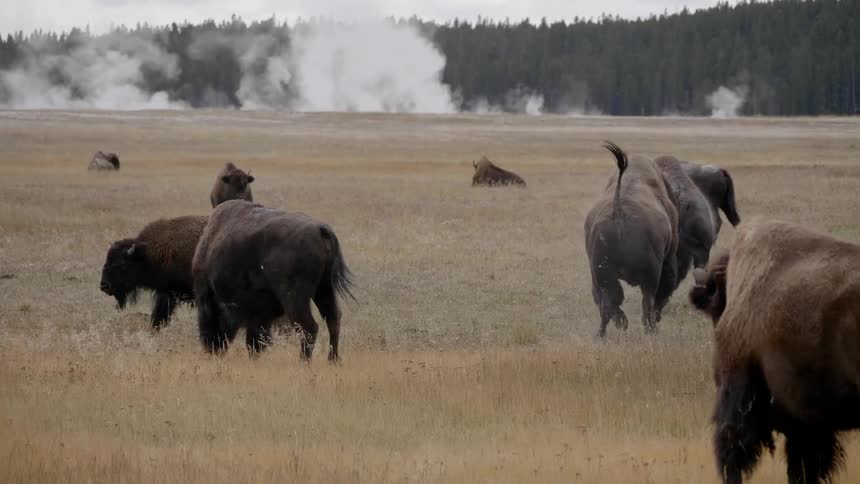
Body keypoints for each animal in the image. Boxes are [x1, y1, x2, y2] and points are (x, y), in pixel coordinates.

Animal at [192, 200, 354, 360]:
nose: (212, 349)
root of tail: (320, 230)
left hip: (295, 298)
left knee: (309, 327)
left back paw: (303, 362)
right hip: (325, 289)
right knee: (333, 318)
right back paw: (333, 360)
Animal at [584, 141, 679, 336]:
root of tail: (618, 211)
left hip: (602, 273)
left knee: (607, 304)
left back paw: (602, 334)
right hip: (650, 277)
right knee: (647, 303)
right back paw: (650, 330)